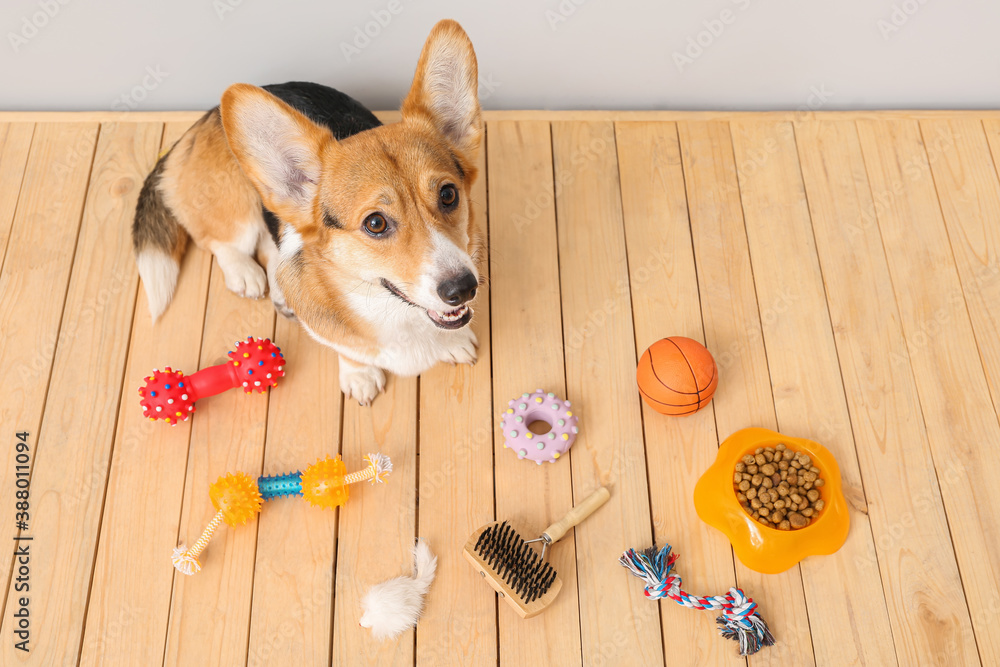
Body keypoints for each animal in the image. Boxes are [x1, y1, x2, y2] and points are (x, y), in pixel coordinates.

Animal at [133, 20, 484, 404]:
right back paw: (244, 273)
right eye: (375, 223)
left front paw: (453, 342)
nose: (463, 289)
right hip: (235, 206)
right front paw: (359, 374)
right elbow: (348, 349)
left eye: (448, 195)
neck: (395, 312)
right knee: (220, 240)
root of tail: (207, 116)